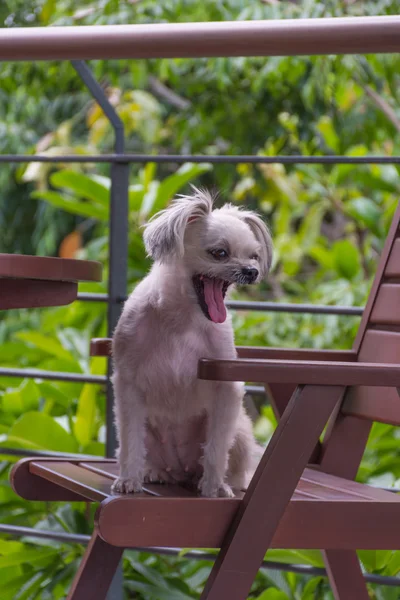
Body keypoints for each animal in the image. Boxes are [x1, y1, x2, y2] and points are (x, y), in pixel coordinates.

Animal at [111, 190, 274, 500]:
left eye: (254, 256)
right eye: (220, 253)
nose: (251, 271)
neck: (182, 320)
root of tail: (180, 470)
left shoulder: (226, 390)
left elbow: (216, 448)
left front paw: (214, 487)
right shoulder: (128, 387)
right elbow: (130, 442)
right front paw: (128, 479)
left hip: (241, 431)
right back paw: (154, 472)